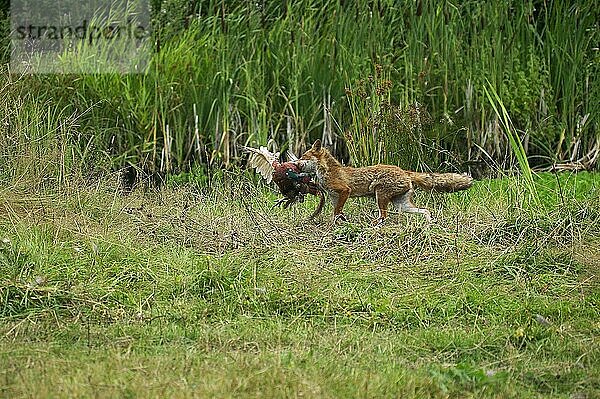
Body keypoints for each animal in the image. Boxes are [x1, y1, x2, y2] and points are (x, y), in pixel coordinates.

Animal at [300, 140, 474, 222]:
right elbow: (337, 213)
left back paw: (374, 226)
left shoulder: (345, 191)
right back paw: (429, 222)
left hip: (380, 196)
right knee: (425, 210)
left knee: (384, 216)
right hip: (401, 205)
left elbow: (336, 212)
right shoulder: (334, 197)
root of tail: (404, 171)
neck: (327, 171)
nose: (296, 163)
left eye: (303, 156)